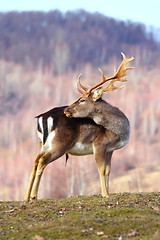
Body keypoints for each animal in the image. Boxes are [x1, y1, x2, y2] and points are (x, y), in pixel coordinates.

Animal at [23, 53, 134, 202]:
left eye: (82, 99)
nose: (67, 109)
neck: (119, 132)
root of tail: (43, 117)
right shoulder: (99, 144)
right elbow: (101, 169)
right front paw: (104, 194)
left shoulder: (110, 150)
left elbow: (108, 170)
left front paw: (108, 192)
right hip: (59, 144)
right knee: (42, 161)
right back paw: (34, 196)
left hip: (42, 143)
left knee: (35, 161)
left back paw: (26, 197)